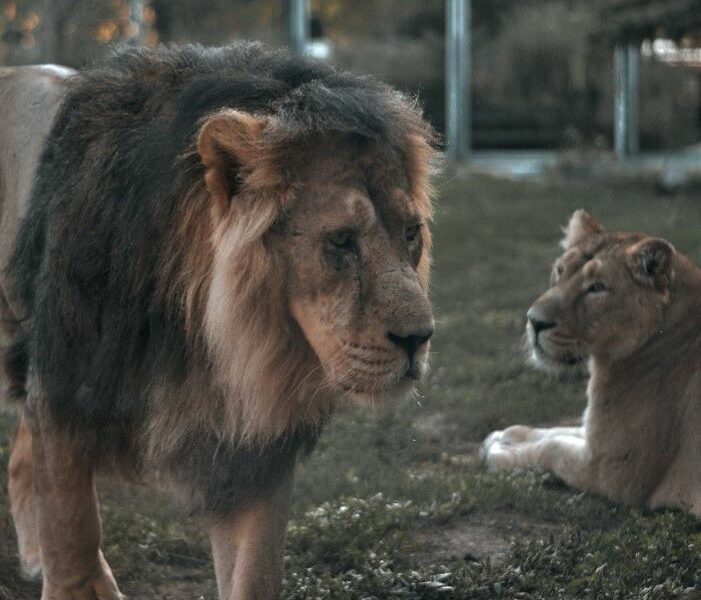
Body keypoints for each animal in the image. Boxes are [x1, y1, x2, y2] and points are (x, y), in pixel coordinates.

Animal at [0, 44, 436, 599]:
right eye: (341, 240)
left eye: (410, 233)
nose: (418, 339)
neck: (208, 336)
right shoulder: (64, 382)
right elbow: (70, 522)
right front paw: (79, 581)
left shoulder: (253, 447)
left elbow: (256, 572)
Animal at [481, 210, 701, 516]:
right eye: (560, 270)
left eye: (596, 288)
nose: (534, 321)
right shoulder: (596, 437)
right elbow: (561, 431)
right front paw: (505, 434)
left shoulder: (614, 471)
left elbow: (552, 448)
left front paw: (498, 452)